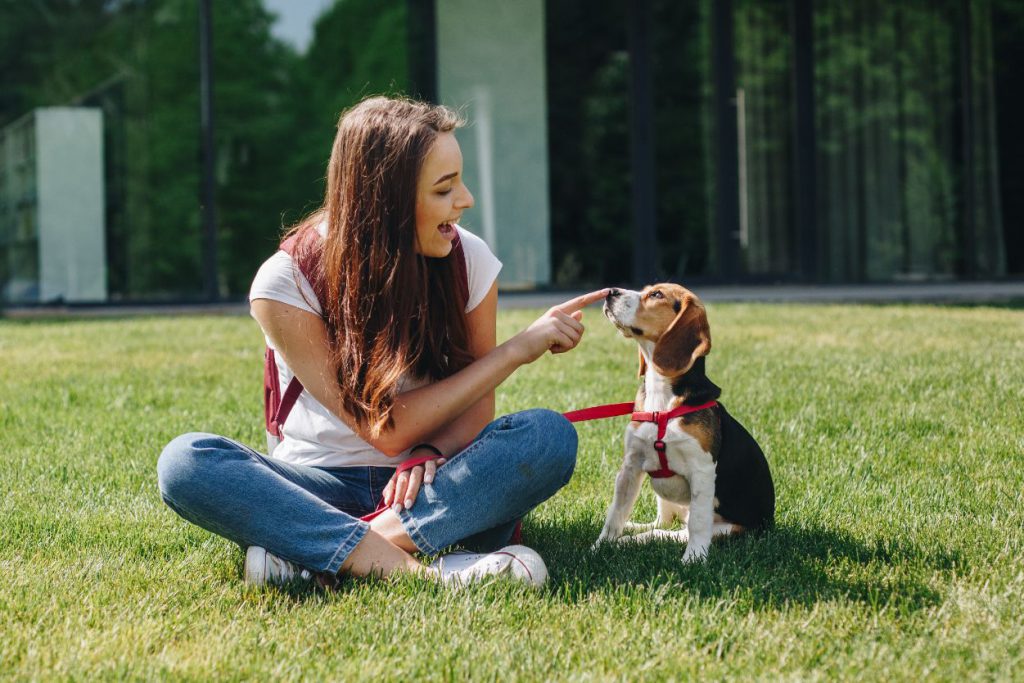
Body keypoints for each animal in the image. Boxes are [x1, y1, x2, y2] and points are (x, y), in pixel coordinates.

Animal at [598, 286, 770, 565]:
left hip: (728, 528)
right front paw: (600, 546)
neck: (662, 402)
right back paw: (632, 531)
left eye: (656, 294)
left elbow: (698, 523)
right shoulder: (630, 466)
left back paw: (635, 539)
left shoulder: (702, 470)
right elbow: (615, 514)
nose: (610, 291)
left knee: (675, 531)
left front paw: (694, 560)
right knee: (663, 523)